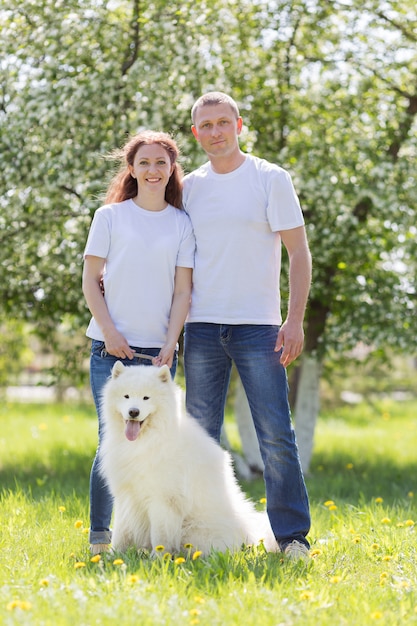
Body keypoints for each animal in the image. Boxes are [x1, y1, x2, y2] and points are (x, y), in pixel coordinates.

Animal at [99, 360, 278, 556]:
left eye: (146, 398)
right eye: (126, 396)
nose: (133, 412)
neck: (147, 440)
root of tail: (253, 536)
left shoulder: (163, 499)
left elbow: (160, 535)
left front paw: (158, 557)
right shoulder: (126, 494)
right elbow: (121, 531)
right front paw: (113, 556)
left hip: (195, 530)